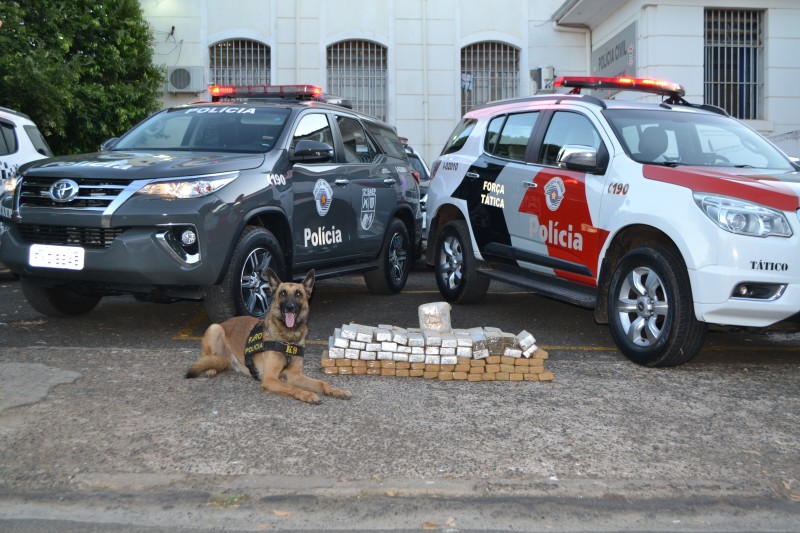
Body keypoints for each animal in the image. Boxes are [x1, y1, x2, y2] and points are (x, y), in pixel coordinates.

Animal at [188, 270, 354, 404]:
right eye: (282, 293)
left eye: (298, 294)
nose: (290, 308)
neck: (287, 338)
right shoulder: (270, 378)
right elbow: (290, 387)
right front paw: (307, 395)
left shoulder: (296, 375)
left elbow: (321, 383)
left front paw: (336, 390)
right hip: (215, 328)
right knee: (207, 356)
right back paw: (210, 369)